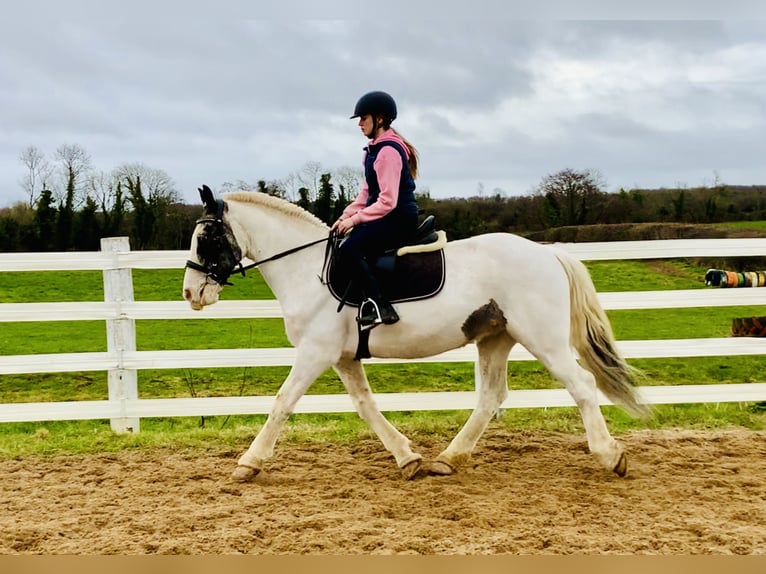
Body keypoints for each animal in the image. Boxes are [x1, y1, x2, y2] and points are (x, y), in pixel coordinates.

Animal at [183, 187, 652, 484]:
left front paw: (248, 464)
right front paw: (408, 458)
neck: (307, 268)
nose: (191, 293)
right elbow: (366, 407)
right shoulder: (343, 357)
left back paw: (610, 456)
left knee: (583, 386)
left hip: (543, 339)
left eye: (207, 236)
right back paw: (449, 459)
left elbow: (282, 403)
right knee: (491, 398)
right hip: (495, 338)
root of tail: (547, 252)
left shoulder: (316, 353)